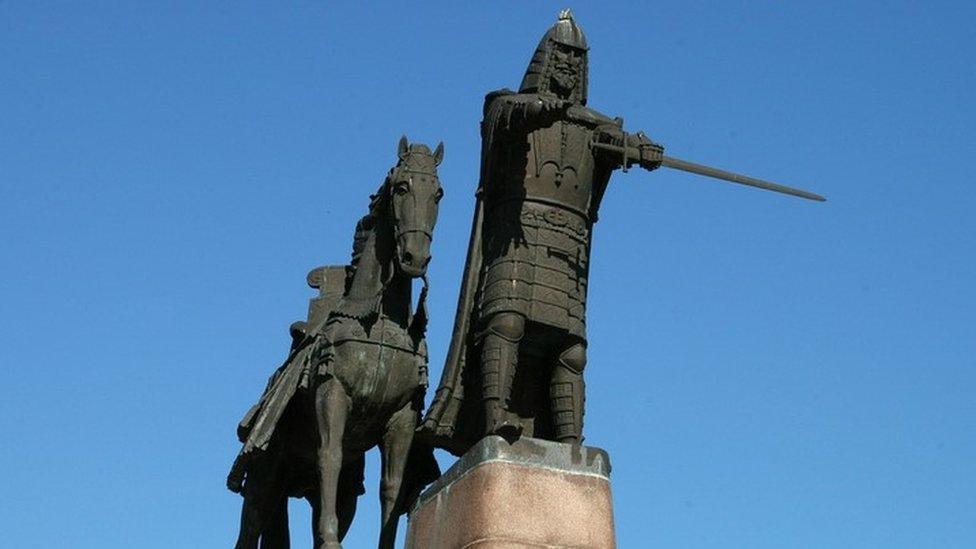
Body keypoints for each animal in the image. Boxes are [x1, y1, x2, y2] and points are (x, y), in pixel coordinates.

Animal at [310, 137, 444, 548]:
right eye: (401, 188)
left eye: (438, 193)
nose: (415, 257)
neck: (380, 323)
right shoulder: (333, 394)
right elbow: (329, 458)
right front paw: (331, 540)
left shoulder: (401, 417)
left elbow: (393, 486)